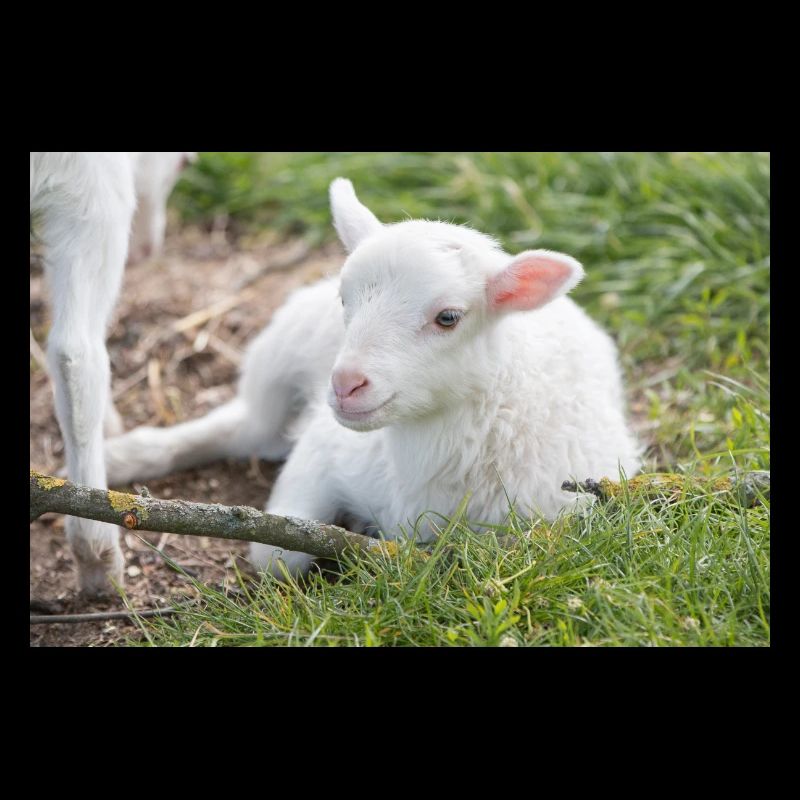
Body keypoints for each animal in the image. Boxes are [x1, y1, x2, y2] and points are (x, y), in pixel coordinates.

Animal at [105, 178, 641, 579]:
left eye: (448, 317)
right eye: (345, 298)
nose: (345, 384)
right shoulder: (324, 449)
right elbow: (277, 553)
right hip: (280, 350)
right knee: (242, 426)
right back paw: (123, 457)